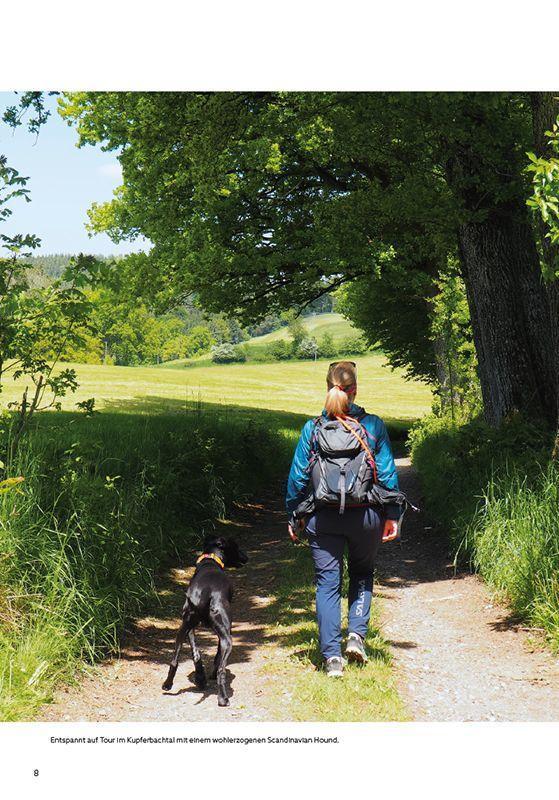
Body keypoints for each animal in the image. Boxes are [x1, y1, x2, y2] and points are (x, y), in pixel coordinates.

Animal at [163, 536, 248, 708]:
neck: (210, 561)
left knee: (175, 660)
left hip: (183, 628)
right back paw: (223, 698)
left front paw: (200, 678)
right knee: (222, 669)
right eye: (236, 546)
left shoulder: (191, 629)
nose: (246, 557)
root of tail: (206, 593)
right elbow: (217, 656)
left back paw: (168, 684)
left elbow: (196, 653)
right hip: (228, 638)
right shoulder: (225, 632)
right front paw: (210, 675)